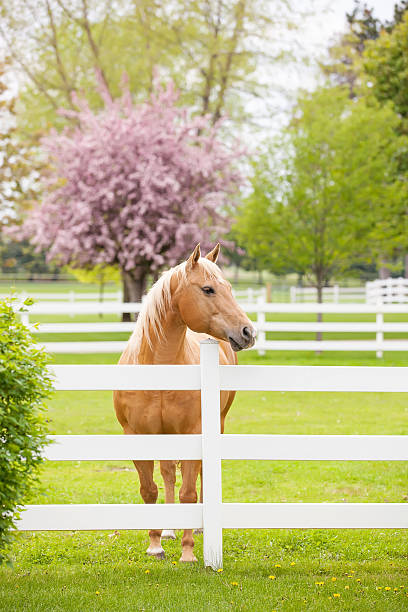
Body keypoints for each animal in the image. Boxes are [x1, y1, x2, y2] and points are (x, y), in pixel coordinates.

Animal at [113, 243, 255, 560]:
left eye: (229, 288)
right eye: (208, 289)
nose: (248, 332)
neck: (159, 368)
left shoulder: (193, 431)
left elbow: (188, 492)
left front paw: (188, 552)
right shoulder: (137, 435)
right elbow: (149, 489)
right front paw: (155, 545)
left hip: (216, 424)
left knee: (201, 475)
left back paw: (199, 529)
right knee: (167, 473)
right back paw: (168, 530)